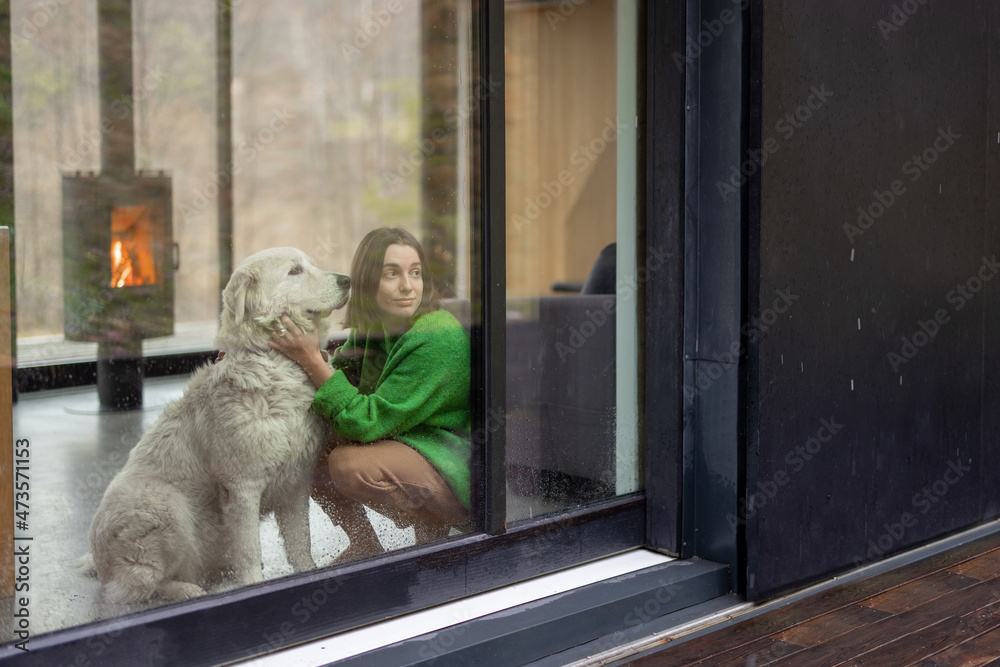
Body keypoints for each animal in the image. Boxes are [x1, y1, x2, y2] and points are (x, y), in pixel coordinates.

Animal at [85, 249, 352, 604]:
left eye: (311, 264)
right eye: (295, 271)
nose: (347, 280)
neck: (274, 364)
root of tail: (99, 565)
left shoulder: (296, 483)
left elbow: (299, 544)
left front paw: (307, 575)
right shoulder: (242, 488)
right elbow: (250, 551)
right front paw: (254, 587)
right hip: (165, 505)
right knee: (141, 584)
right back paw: (186, 591)